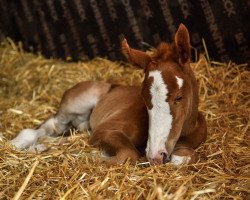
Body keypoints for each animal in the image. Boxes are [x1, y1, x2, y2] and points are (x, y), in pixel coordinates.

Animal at [10, 24, 206, 166]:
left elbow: (186, 157)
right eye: (144, 99)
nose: (156, 156)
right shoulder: (105, 130)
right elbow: (128, 154)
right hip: (78, 104)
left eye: (179, 97)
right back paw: (21, 144)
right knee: (48, 126)